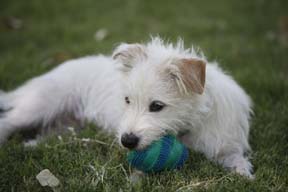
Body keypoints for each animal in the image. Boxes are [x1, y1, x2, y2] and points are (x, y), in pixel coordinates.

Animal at [0, 37, 253, 178]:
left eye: (157, 106)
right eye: (127, 100)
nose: (127, 141)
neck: (190, 124)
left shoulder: (224, 144)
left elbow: (236, 159)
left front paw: (244, 174)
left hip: (67, 126)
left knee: (45, 134)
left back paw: (30, 145)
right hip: (40, 104)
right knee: (9, 121)